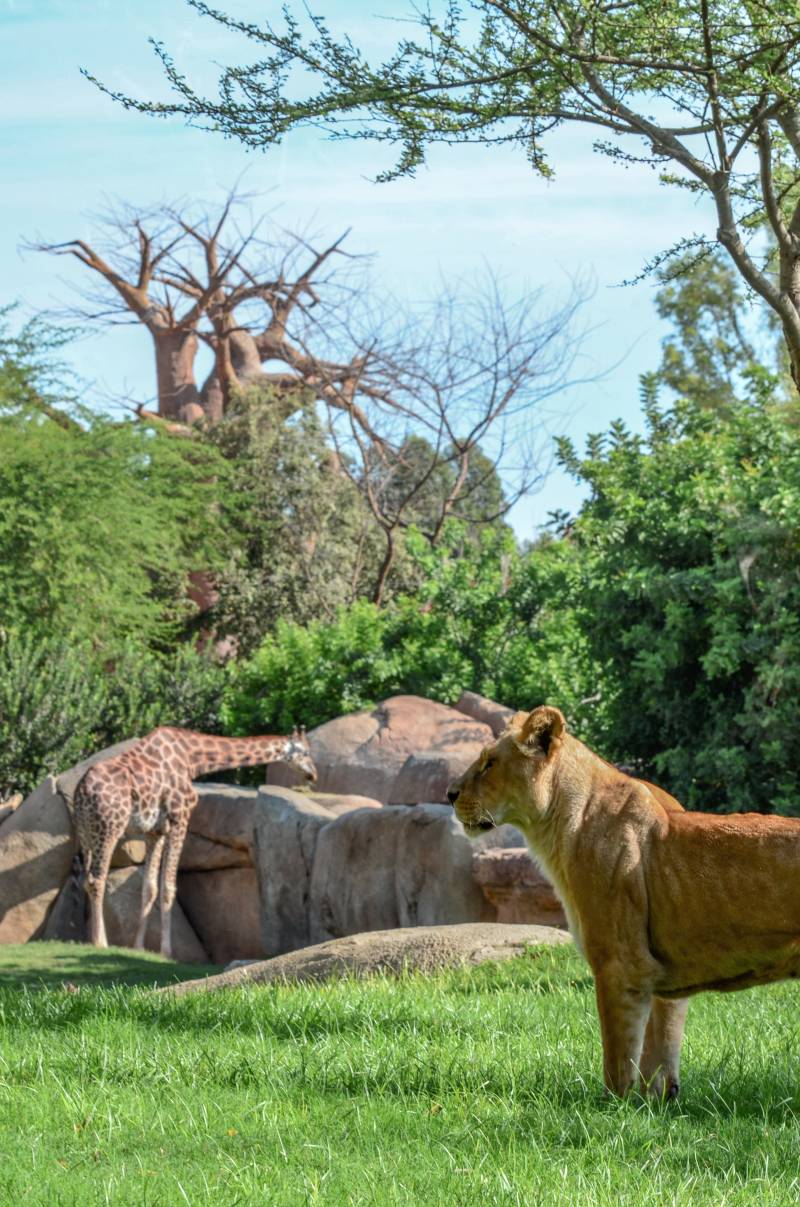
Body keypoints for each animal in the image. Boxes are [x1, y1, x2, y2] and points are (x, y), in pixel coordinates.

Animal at [72, 729, 316, 955]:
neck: (193, 759)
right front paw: (167, 952)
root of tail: (82, 791)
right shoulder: (180, 817)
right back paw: (100, 942)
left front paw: (139, 947)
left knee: (86, 879)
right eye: (305, 752)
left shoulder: (156, 830)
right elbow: (169, 887)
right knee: (96, 879)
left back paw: (92, 939)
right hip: (110, 828)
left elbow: (149, 887)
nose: (313, 775)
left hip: (86, 833)